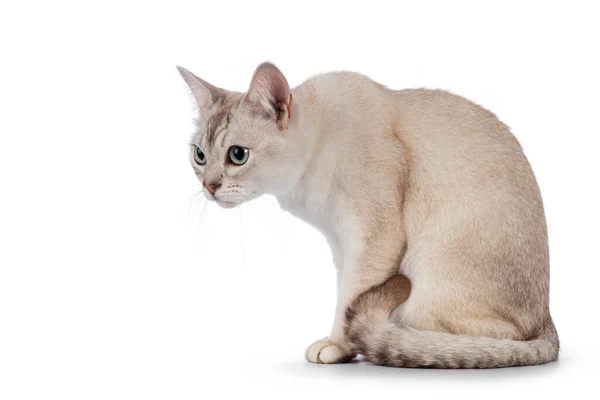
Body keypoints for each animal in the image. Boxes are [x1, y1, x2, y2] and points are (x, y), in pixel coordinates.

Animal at [177, 61, 556, 368]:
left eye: (237, 155)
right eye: (199, 155)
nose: (209, 187)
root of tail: (548, 321)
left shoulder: (373, 238)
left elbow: (349, 298)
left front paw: (337, 346)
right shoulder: (341, 243)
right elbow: (344, 295)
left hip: (426, 286)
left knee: (486, 341)